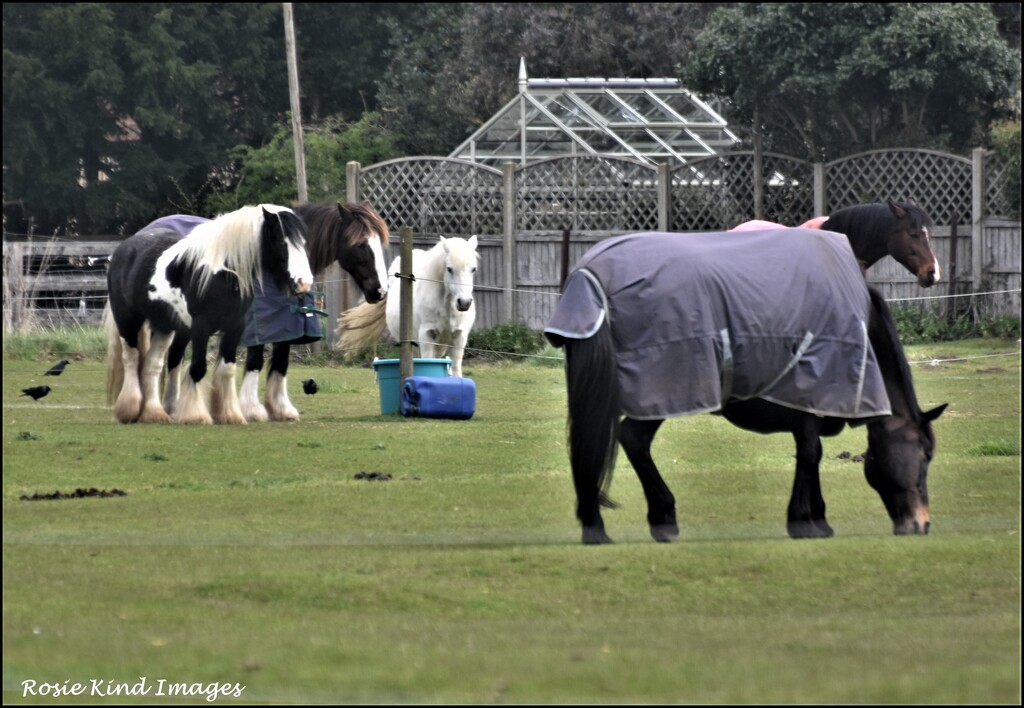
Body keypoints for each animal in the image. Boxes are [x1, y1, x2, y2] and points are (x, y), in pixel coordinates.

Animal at [335, 233, 479, 379]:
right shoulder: (426, 336)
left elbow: (455, 370)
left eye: (473, 269)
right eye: (449, 269)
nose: (464, 302)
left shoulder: (459, 338)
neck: (446, 306)